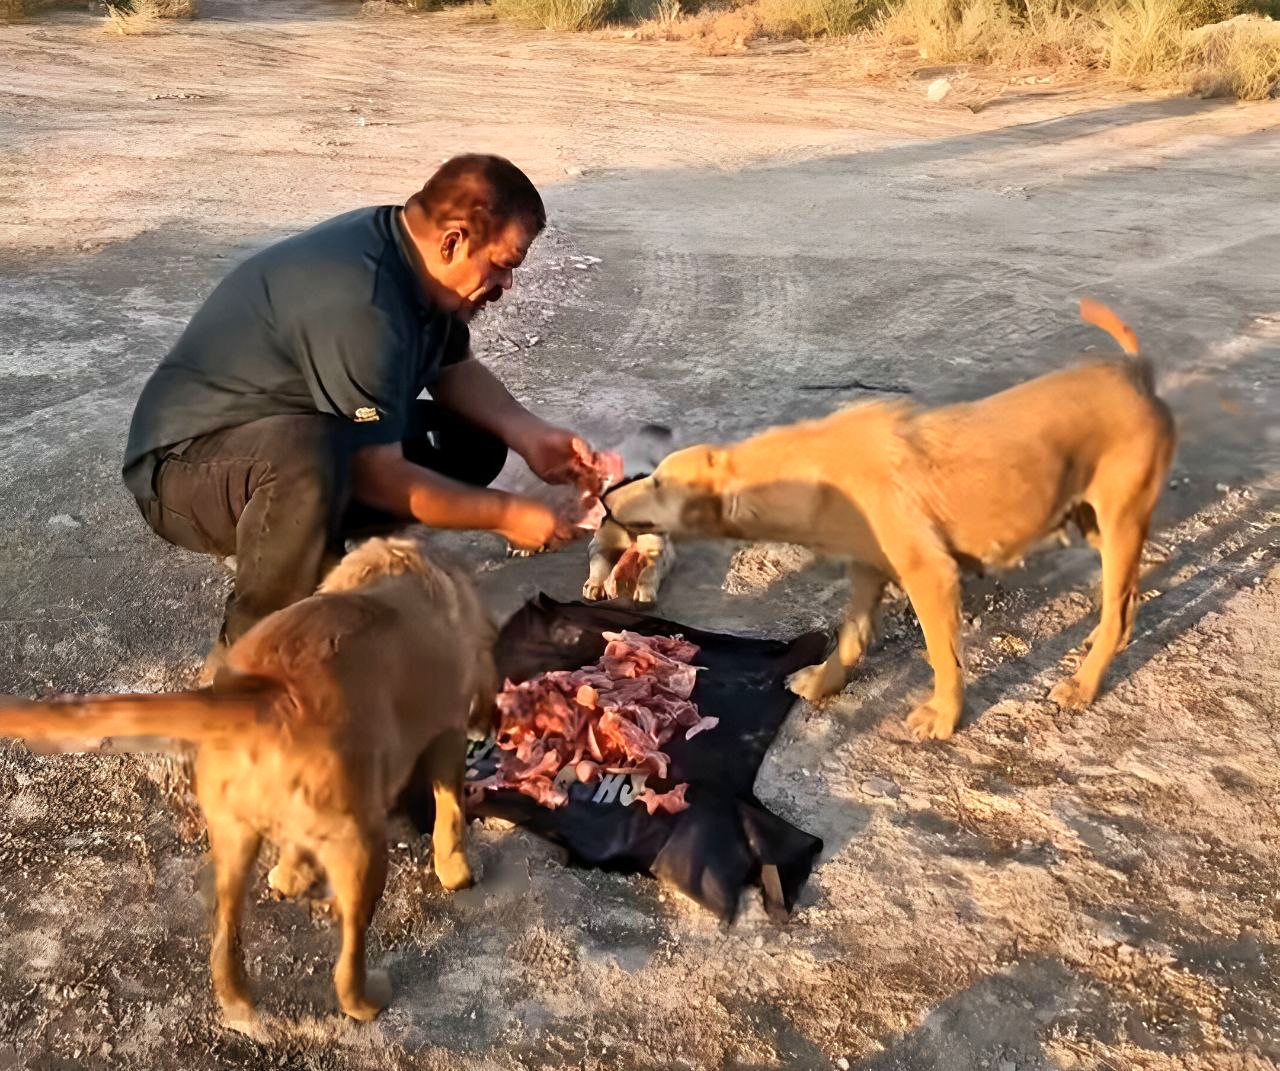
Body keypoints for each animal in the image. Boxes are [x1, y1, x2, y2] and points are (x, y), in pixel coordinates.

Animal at [0, 539, 494, 1033]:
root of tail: (268, 696)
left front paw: (291, 875)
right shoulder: (448, 734)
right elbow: (450, 810)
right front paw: (456, 870)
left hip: (233, 834)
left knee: (226, 932)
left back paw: (239, 995)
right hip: (361, 847)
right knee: (349, 955)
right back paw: (367, 999)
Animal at [604, 296, 1172, 742]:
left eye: (659, 483)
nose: (607, 499)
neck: (814, 472)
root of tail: (1134, 373)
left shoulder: (931, 576)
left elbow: (943, 656)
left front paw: (943, 718)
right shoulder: (867, 569)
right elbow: (850, 638)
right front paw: (822, 682)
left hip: (1120, 520)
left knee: (1119, 605)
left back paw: (1083, 684)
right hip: (1092, 522)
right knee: (1126, 601)